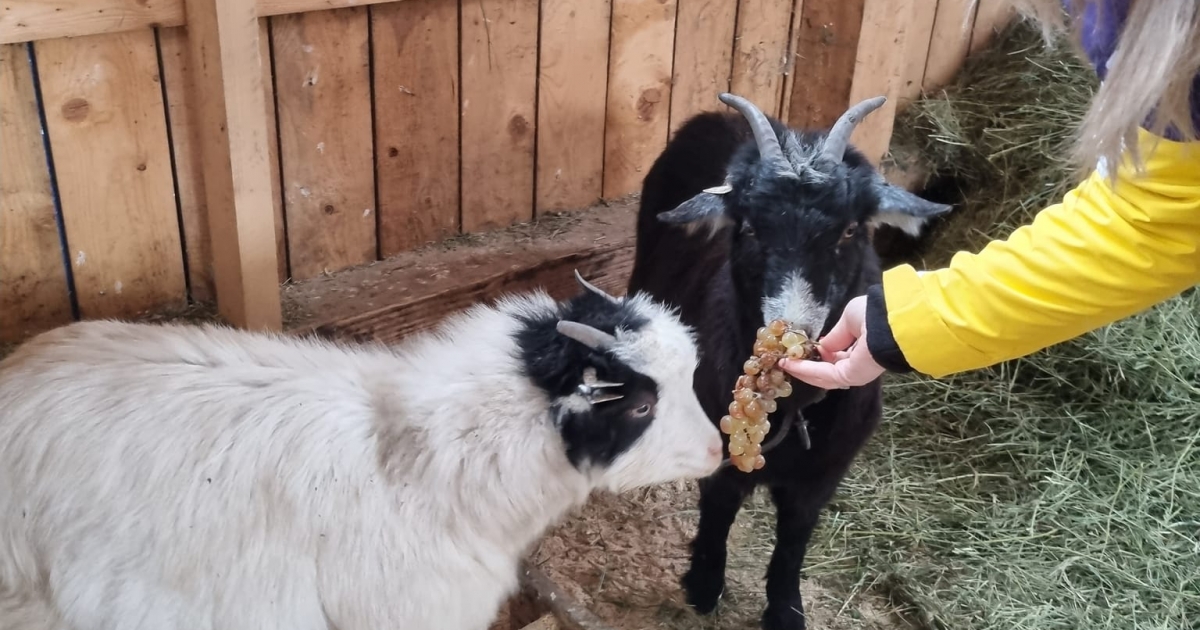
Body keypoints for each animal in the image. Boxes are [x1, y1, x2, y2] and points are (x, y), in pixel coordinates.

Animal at [624, 90, 950, 624]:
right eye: (749, 228)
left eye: (850, 231)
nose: (792, 329)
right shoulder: (724, 451)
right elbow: (717, 513)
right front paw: (704, 586)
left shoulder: (822, 475)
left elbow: (795, 537)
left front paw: (785, 610)